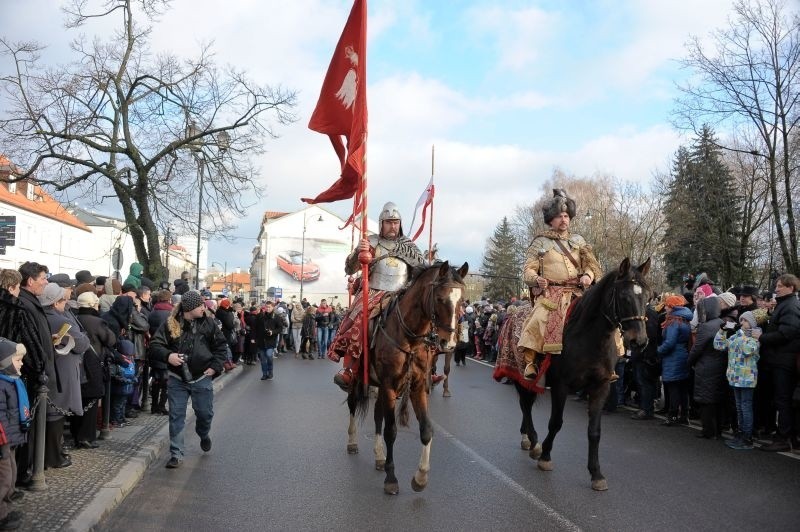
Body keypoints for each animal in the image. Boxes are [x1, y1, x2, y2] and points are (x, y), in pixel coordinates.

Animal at [346, 260, 468, 494]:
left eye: (462, 301)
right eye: (440, 299)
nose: (448, 343)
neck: (410, 340)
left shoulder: (417, 387)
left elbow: (426, 429)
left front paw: (420, 477)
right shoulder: (388, 386)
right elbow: (391, 431)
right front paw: (391, 478)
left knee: (377, 415)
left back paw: (379, 456)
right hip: (357, 379)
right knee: (353, 404)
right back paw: (352, 442)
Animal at [494, 256, 648, 490]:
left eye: (648, 297)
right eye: (623, 296)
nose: (638, 341)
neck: (589, 339)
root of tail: (513, 311)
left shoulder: (600, 386)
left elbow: (594, 431)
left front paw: (596, 474)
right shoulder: (561, 385)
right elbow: (556, 422)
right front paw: (545, 456)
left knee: (526, 405)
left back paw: (528, 439)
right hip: (521, 376)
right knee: (525, 405)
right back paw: (532, 441)